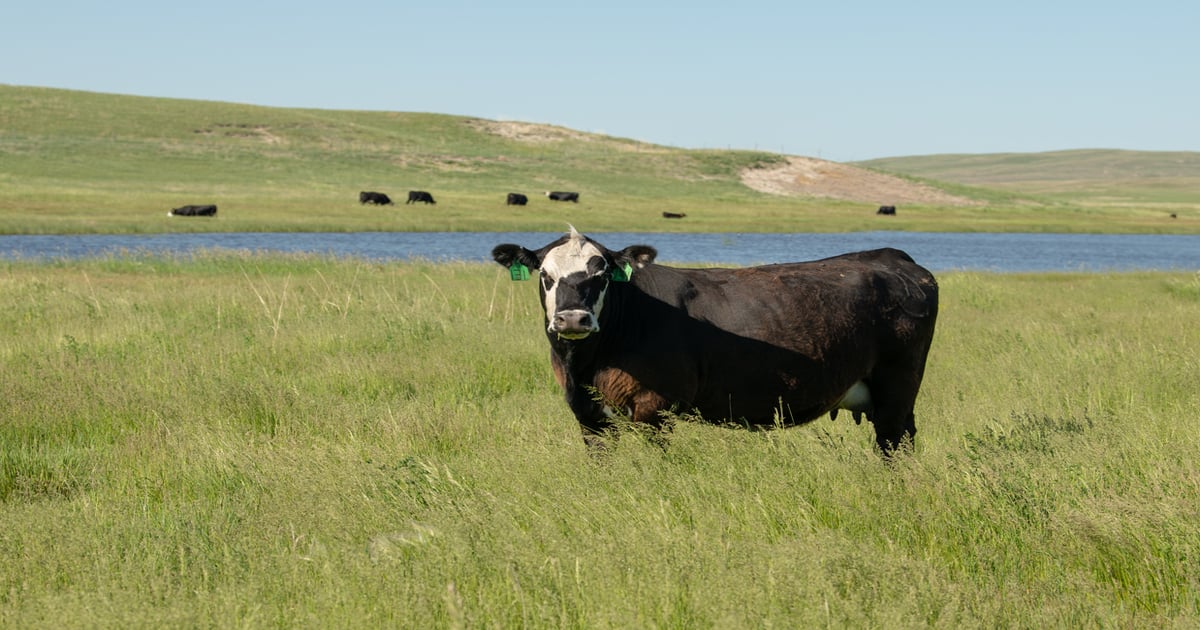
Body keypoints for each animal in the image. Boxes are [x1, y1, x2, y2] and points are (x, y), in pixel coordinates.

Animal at [492, 228, 939, 455]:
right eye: (545, 275)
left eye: (601, 274)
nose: (572, 318)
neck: (585, 364)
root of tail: (892, 257)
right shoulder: (588, 414)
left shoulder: (654, 408)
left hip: (898, 387)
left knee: (894, 443)